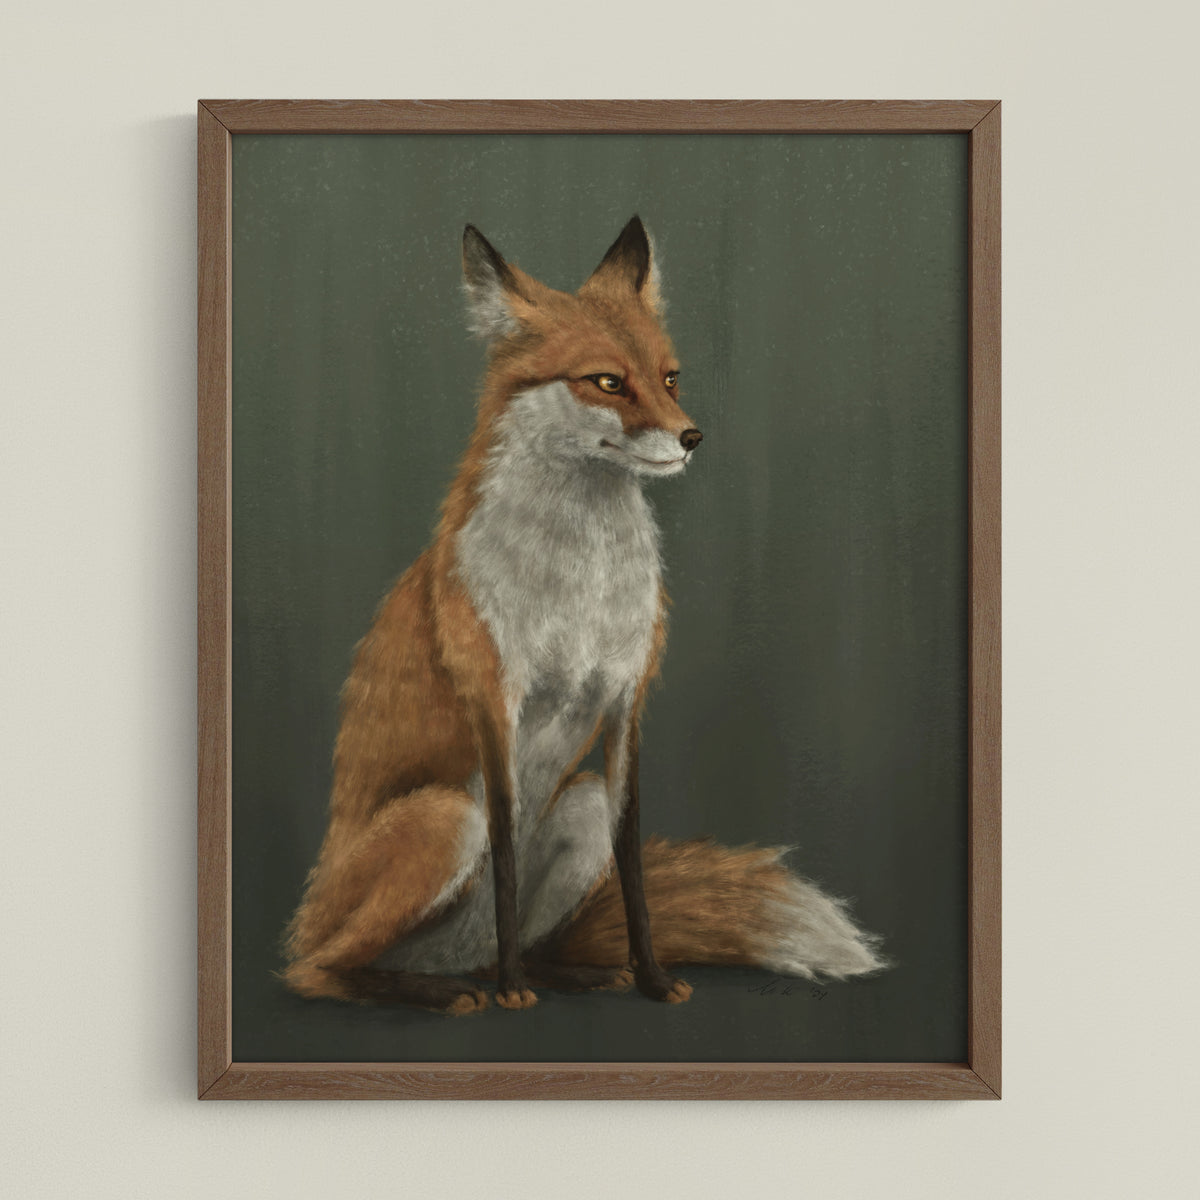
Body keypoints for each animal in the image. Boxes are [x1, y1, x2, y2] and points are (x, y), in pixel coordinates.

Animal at [282, 216, 886, 1014]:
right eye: (607, 381)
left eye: (670, 377)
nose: (692, 437)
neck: (582, 585)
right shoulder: (495, 702)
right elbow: (507, 855)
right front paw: (512, 993)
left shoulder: (626, 701)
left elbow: (632, 865)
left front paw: (652, 978)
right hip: (445, 819)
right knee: (318, 970)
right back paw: (449, 990)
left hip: (580, 806)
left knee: (519, 938)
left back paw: (567, 973)